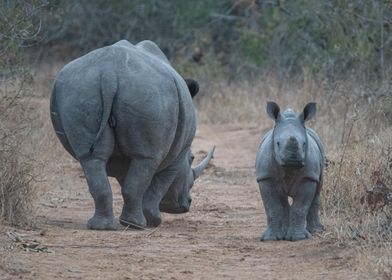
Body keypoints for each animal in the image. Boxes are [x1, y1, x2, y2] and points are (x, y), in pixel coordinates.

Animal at [256, 101, 324, 241]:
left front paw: (298, 238)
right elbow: (272, 207)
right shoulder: (265, 177)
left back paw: (316, 231)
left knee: (317, 191)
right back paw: (283, 234)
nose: (293, 160)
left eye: (304, 144)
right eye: (277, 143)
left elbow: (300, 208)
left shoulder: (308, 177)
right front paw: (270, 238)